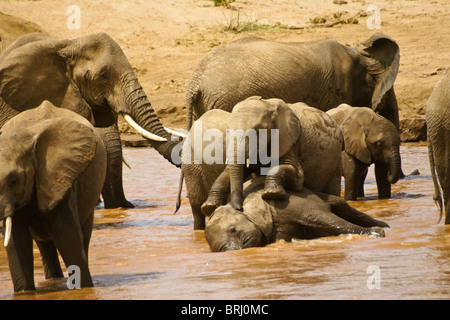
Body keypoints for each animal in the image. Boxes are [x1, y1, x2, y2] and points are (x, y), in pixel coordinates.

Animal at [0, 101, 107, 292]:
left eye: (13, 181)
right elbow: (16, 243)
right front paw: (25, 293)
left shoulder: (61, 181)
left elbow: (68, 239)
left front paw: (84, 290)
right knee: (44, 244)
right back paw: (54, 279)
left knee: (83, 235)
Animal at [179, 96, 342, 229]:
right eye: (228, 131)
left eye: (257, 132)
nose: (239, 208)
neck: (269, 105)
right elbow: (229, 172)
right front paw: (209, 206)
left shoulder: (289, 141)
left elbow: (297, 177)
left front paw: (272, 193)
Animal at [206, 175, 388, 252]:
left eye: (233, 230)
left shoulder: (284, 204)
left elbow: (324, 218)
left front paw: (377, 233)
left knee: (340, 206)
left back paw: (384, 226)